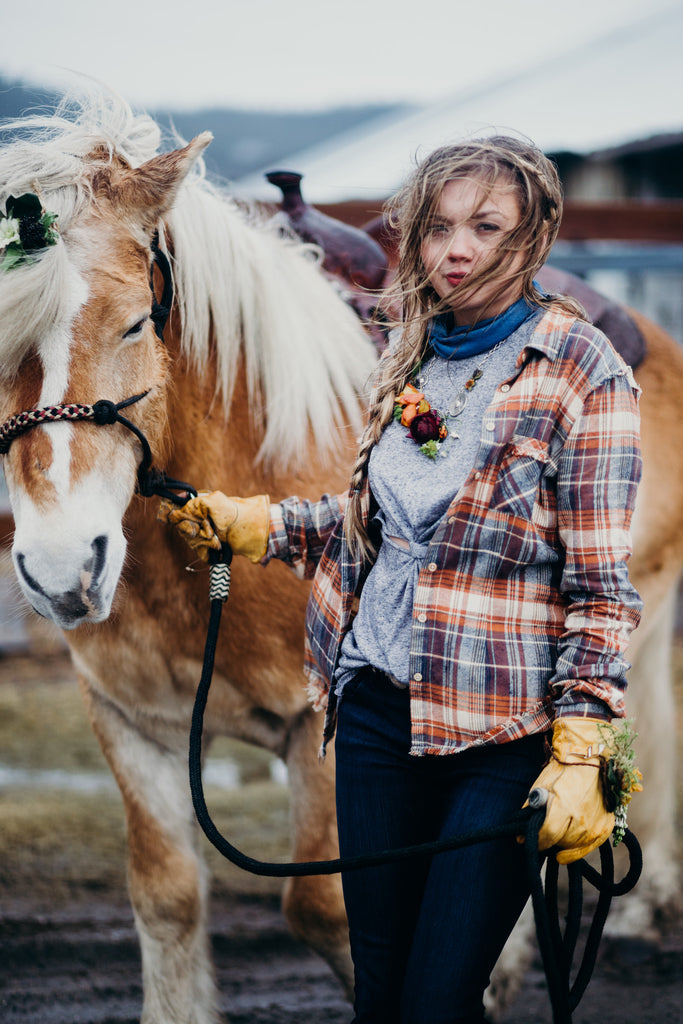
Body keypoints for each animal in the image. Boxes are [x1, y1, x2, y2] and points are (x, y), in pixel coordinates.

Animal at [0, 90, 679, 1024]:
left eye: (136, 320)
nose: (63, 571)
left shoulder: (315, 726)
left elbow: (327, 906)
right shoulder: (130, 721)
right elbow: (167, 895)